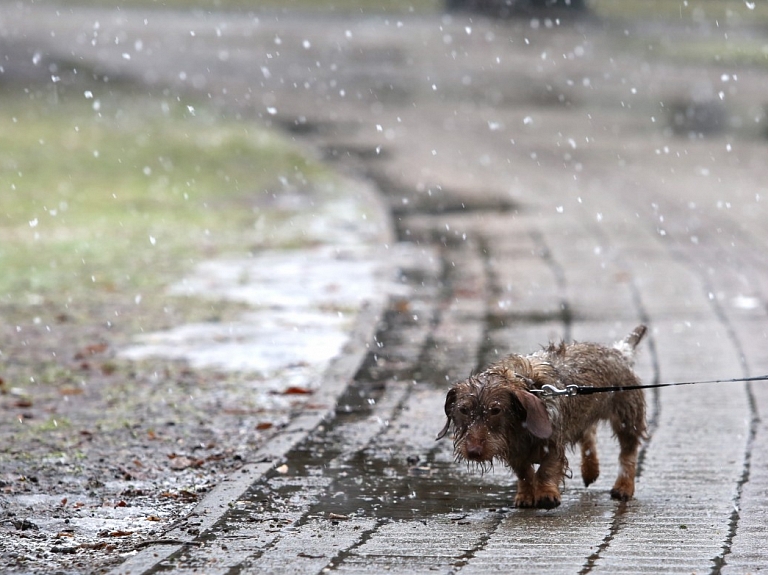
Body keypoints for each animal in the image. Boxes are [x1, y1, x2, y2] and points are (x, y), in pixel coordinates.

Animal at [438, 326, 648, 510]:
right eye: (464, 410)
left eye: (496, 410)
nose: (473, 451)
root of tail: (620, 351)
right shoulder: (514, 452)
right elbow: (524, 473)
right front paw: (525, 495)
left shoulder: (553, 443)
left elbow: (546, 469)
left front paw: (547, 494)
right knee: (588, 434)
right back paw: (590, 470)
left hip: (627, 418)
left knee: (628, 453)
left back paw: (623, 487)